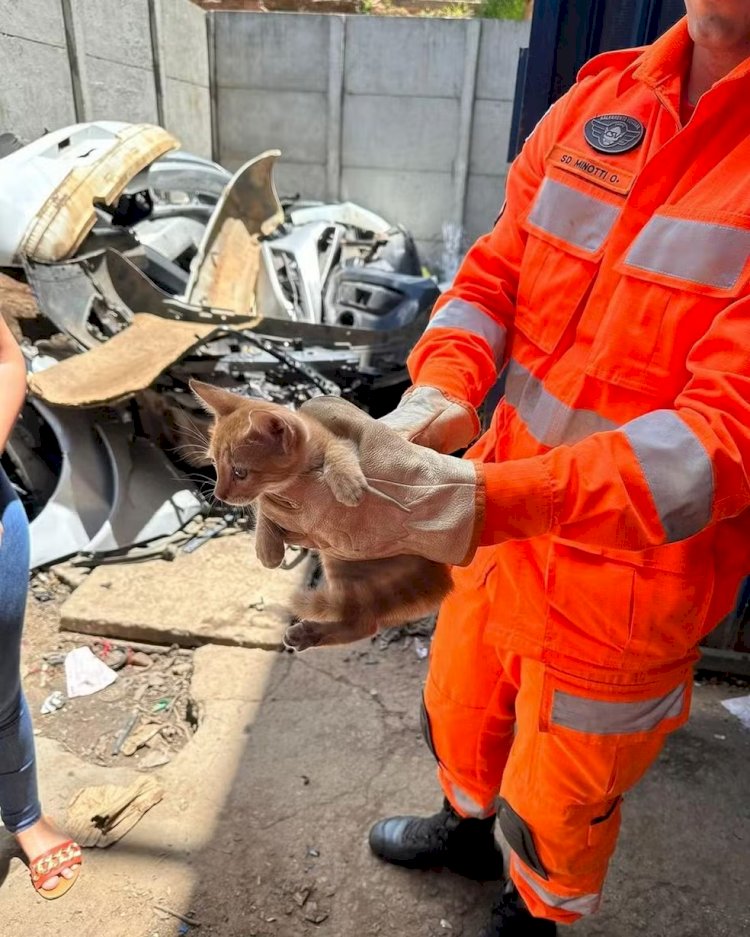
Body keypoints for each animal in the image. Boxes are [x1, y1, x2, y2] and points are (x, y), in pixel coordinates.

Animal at [194, 380, 452, 652]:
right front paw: (267, 546)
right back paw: (307, 634)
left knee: (363, 622)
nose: (219, 494)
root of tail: (435, 581)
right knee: (363, 621)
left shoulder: (342, 442)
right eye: (214, 464)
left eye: (240, 472)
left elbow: (337, 452)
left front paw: (347, 482)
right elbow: (263, 504)